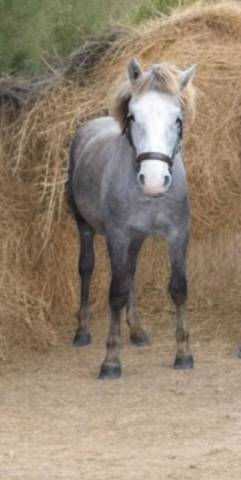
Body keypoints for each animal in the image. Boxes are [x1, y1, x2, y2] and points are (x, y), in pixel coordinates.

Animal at [68, 59, 196, 378]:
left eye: (177, 119)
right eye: (133, 116)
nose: (154, 181)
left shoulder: (178, 234)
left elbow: (178, 288)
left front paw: (183, 353)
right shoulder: (118, 236)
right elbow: (116, 292)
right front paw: (111, 360)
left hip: (136, 240)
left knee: (130, 272)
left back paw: (137, 331)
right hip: (84, 227)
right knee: (86, 269)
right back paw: (82, 331)